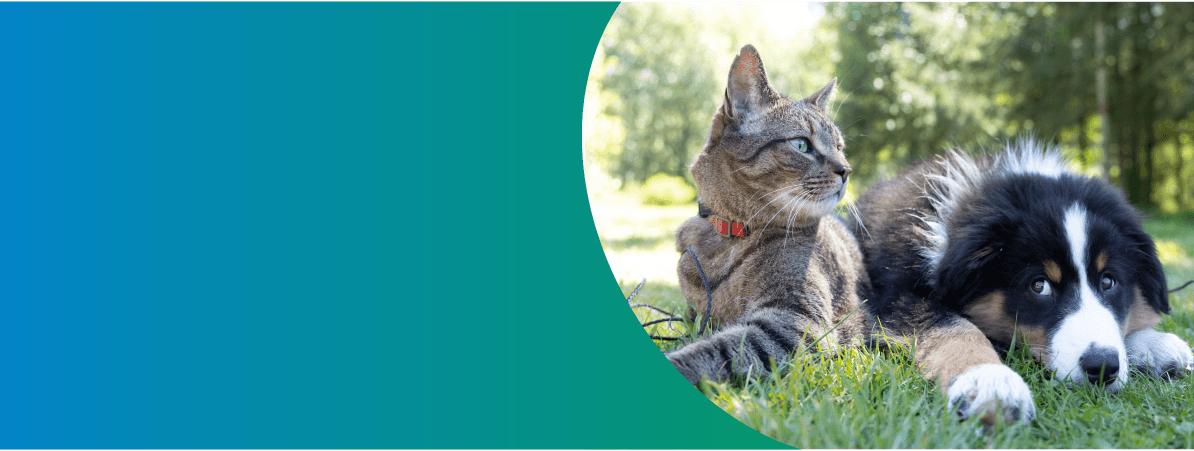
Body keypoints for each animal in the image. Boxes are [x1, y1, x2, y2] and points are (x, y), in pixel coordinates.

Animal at [668, 45, 874, 384]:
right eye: (801, 144)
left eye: (840, 147)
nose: (846, 169)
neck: (730, 235)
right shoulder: (694, 314)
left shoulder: (794, 321)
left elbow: (714, 351)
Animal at [850, 138, 1194, 427]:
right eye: (1039, 286)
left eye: (1109, 281)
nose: (1102, 368)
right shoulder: (897, 297)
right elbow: (954, 327)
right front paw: (990, 382)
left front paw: (1154, 344)